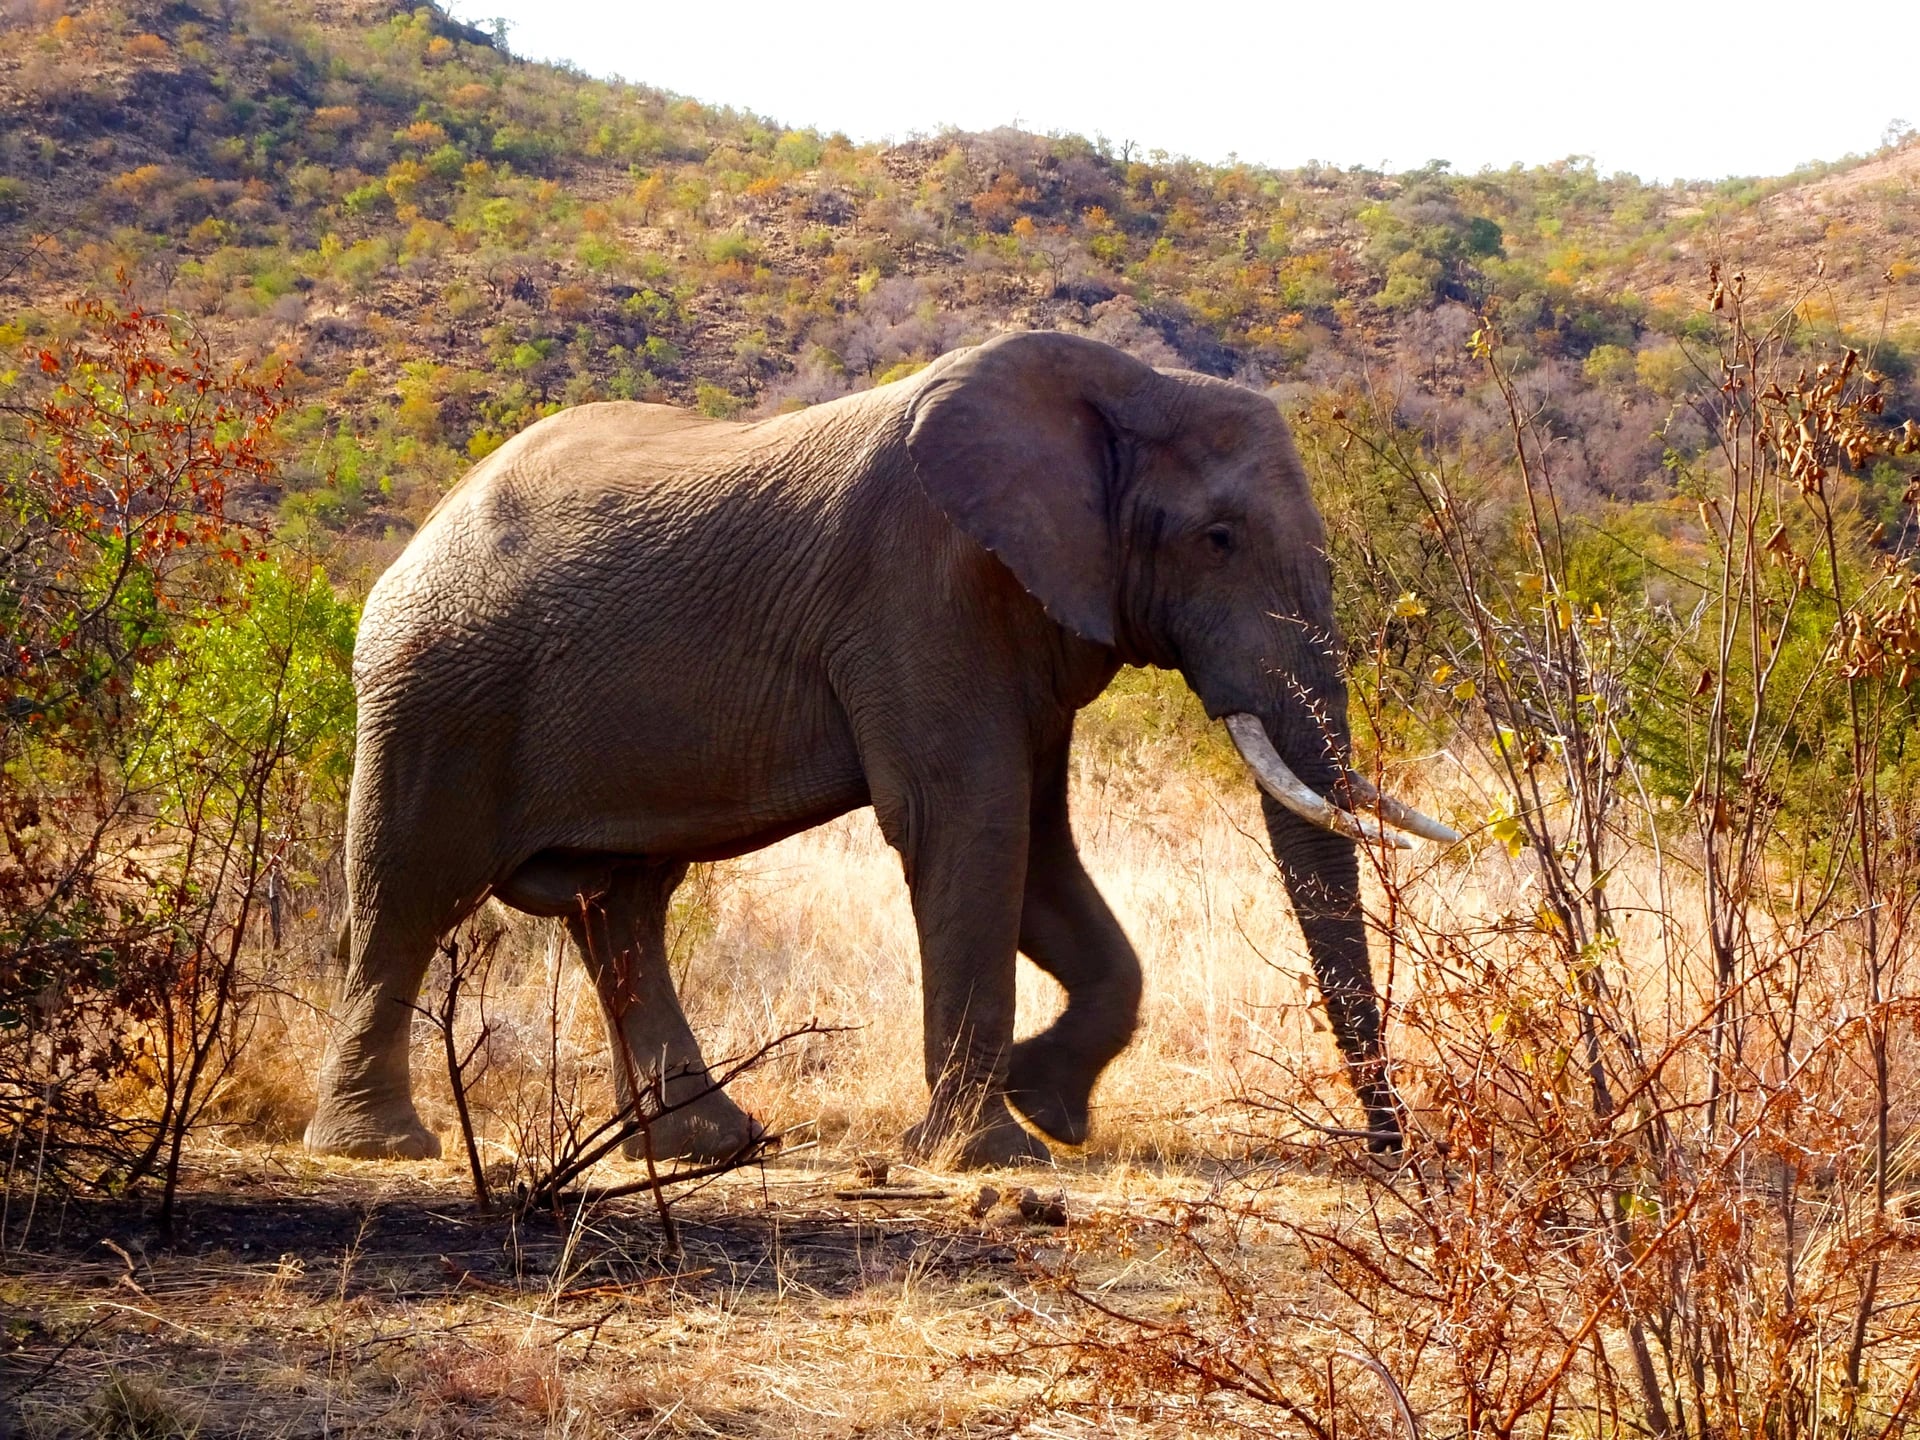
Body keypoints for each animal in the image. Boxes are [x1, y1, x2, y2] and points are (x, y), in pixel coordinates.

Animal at [303, 330, 1455, 1169]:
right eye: (1217, 540)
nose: (1391, 1150)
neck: (1118, 386)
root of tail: (422, 534)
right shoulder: (923, 587)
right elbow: (970, 824)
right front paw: (990, 1155)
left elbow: (1039, 849)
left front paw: (1047, 1108)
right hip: (437, 693)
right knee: (410, 891)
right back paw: (381, 1147)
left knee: (622, 908)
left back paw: (709, 1145)